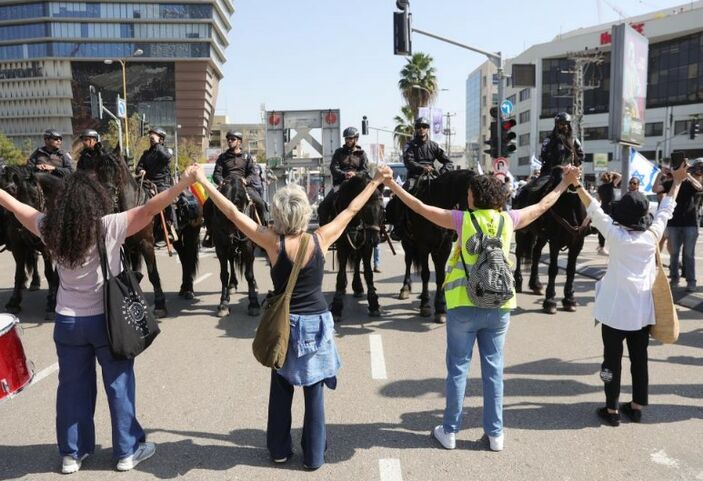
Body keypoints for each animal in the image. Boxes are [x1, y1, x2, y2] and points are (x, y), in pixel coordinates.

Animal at [0, 165, 60, 318]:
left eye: (34, 196)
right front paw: (14, 302)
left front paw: (52, 301)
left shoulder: (46, 248)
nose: (29, 229)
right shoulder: (18, 246)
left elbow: (49, 273)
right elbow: (19, 273)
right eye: (16, 197)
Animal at [210, 178, 262, 316]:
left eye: (241, 207)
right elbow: (224, 274)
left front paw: (254, 303)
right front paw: (223, 303)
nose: (232, 237)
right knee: (232, 262)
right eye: (220, 209)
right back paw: (232, 285)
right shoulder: (221, 248)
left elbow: (249, 274)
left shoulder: (247, 248)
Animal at [328, 174, 384, 320]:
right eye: (364, 208)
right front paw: (336, 307)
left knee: (357, 263)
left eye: (382, 209)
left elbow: (369, 274)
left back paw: (358, 287)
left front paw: (374, 304)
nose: (375, 240)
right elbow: (341, 275)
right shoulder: (342, 247)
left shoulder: (366, 247)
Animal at [388, 169, 476, 322]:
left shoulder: (444, 247)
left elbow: (440, 276)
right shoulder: (423, 247)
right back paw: (405, 288)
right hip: (407, 242)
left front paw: (440, 307)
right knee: (408, 262)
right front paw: (425, 306)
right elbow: (425, 274)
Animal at [516, 169, 592, 316]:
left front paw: (569, 299)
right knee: (519, 254)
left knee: (536, 253)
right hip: (522, 231)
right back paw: (518, 282)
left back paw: (536, 284)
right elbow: (553, 269)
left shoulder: (577, 243)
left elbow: (571, 270)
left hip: (541, 237)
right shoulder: (555, 242)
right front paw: (550, 301)